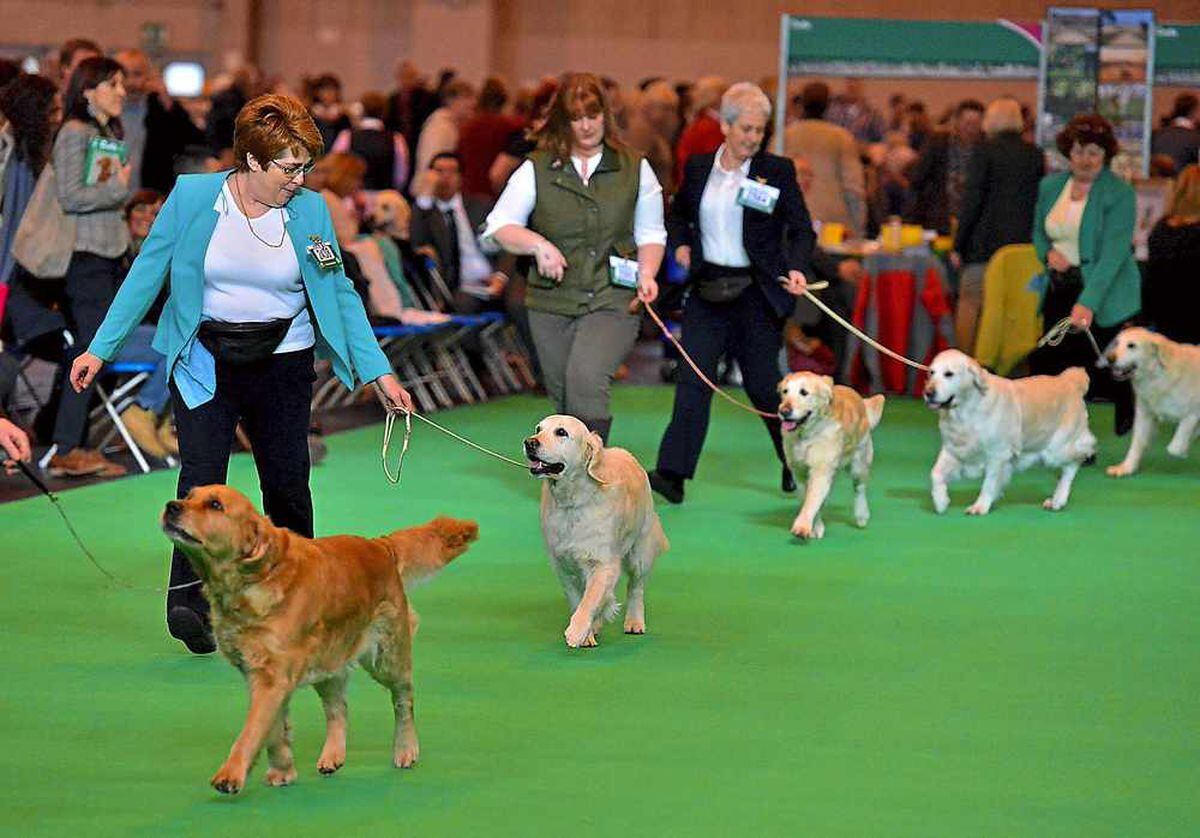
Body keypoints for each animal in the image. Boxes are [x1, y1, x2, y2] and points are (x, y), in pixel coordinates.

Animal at [160, 482, 477, 787]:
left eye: (215, 504)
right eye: (188, 495)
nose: (172, 506)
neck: (255, 579)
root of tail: (379, 545)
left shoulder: (272, 677)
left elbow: (252, 731)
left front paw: (230, 776)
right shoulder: (260, 674)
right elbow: (274, 729)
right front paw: (283, 770)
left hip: (387, 657)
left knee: (403, 700)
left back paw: (406, 749)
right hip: (329, 660)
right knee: (338, 708)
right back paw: (332, 756)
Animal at [523, 415, 672, 648]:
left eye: (561, 432)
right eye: (538, 429)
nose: (530, 442)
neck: (573, 502)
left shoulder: (603, 562)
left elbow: (591, 598)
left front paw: (577, 631)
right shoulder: (563, 565)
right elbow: (577, 598)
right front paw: (588, 631)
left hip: (640, 551)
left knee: (636, 588)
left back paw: (634, 622)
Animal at [777, 369, 883, 537]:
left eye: (804, 392)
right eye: (785, 392)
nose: (784, 411)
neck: (807, 434)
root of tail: (860, 400)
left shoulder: (821, 469)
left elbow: (812, 500)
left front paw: (802, 526)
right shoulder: (799, 471)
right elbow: (809, 498)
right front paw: (815, 526)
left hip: (859, 463)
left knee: (859, 488)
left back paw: (861, 516)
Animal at [921, 348, 1099, 516]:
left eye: (949, 374)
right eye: (931, 372)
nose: (928, 393)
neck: (967, 408)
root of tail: (1071, 380)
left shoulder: (997, 454)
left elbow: (989, 482)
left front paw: (980, 506)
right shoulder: (954, 449)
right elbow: (935, 473)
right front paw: (941, 501)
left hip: (1056, 450)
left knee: (1074, 462)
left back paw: (1058, 500)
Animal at [1104, 324, 1200, 473]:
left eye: (1131, 345)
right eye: (1117, 343)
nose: (1109, 358)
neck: (1156, 375)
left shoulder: (1193, 412)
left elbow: (1176, 444)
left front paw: (1182, 449)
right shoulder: (1144, 414)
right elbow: (1136, 444)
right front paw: (1126, 467)